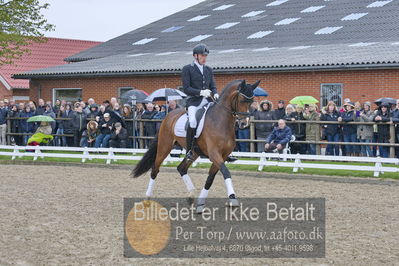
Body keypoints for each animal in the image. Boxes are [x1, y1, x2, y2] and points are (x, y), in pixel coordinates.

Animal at [133, 79, 260, 214]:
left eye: (252, 101)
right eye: (241, 100)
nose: (244, 124)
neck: (221, 122)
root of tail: (168, 116)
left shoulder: (223, 155)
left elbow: (210, 178)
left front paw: (200, 204)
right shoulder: (214, 154)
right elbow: (226, 172)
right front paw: (232, 198)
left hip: (194, 152)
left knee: (181, 168)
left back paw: (191, 196)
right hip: (164, 147)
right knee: (155, 169)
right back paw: (147, 199)